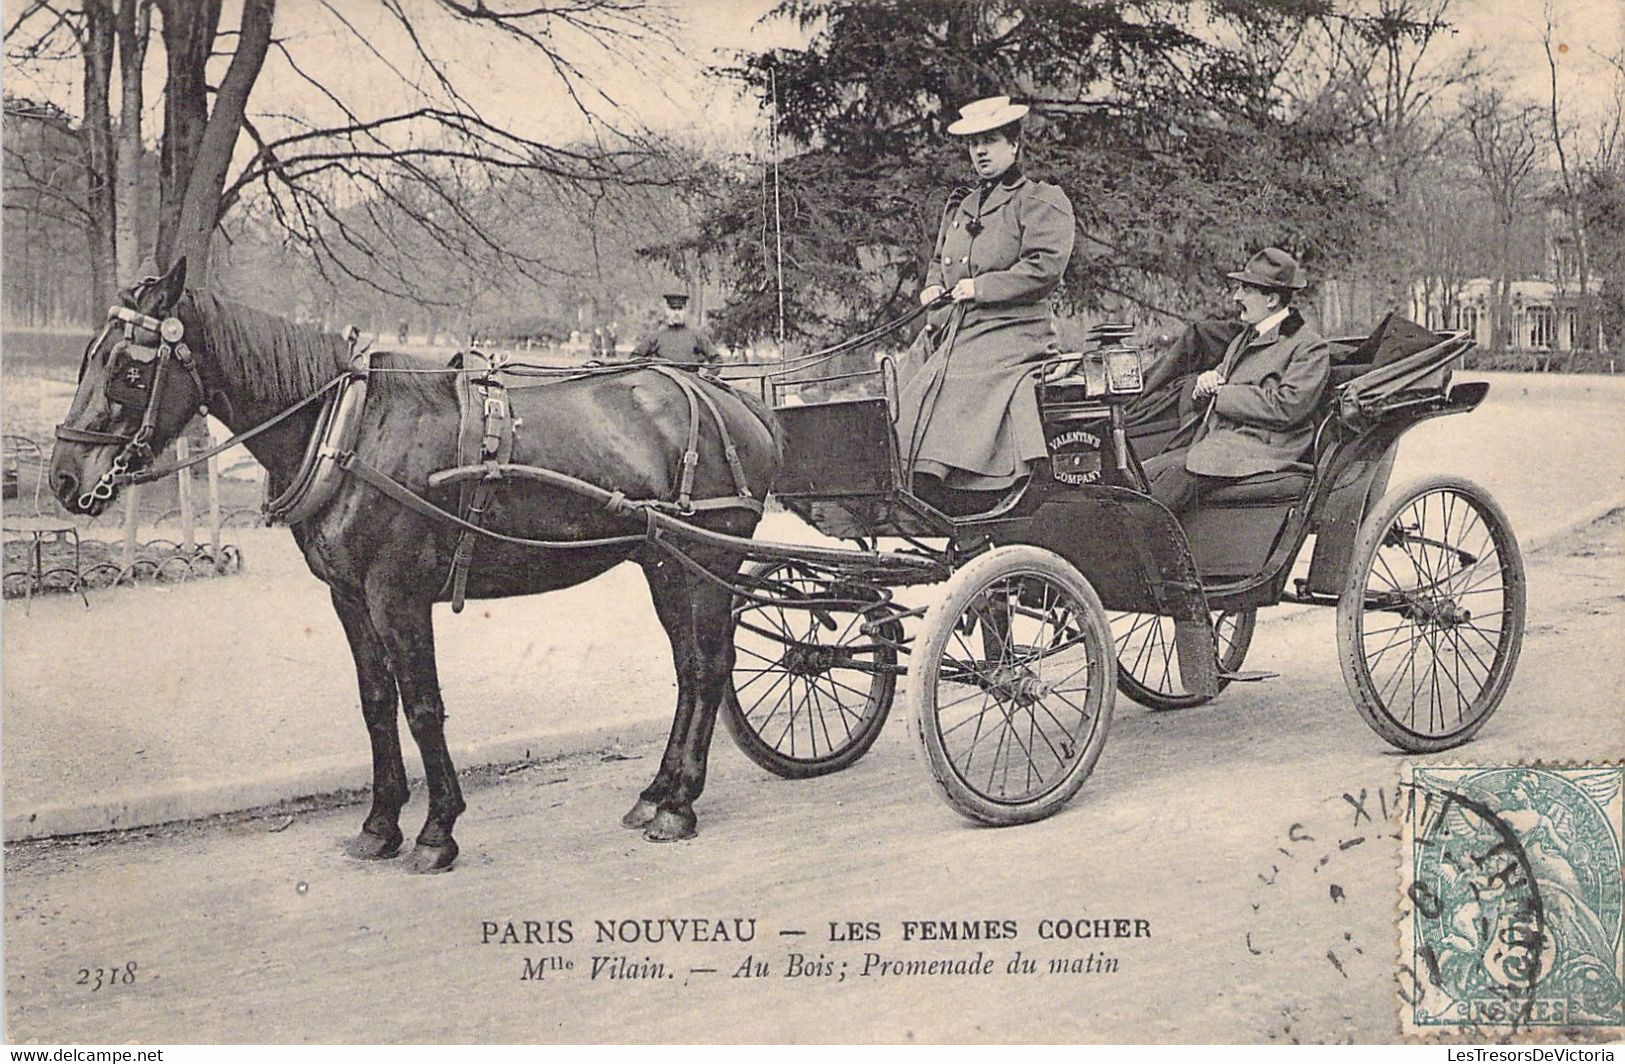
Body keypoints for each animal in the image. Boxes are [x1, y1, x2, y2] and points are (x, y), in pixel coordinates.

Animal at [47, 258, 783, 877]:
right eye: (87, 359)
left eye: (129, 370)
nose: (62, 477)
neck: (349, 430)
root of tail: (738, 404)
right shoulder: (349, 597)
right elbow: (377, 702)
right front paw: (379, 824)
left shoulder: (396, 595)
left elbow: (423, 706)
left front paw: (436, 830)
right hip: (663, 562)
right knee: (688, 668)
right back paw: (658, 792)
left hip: (706, 560)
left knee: (710, 667)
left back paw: (680, 805)